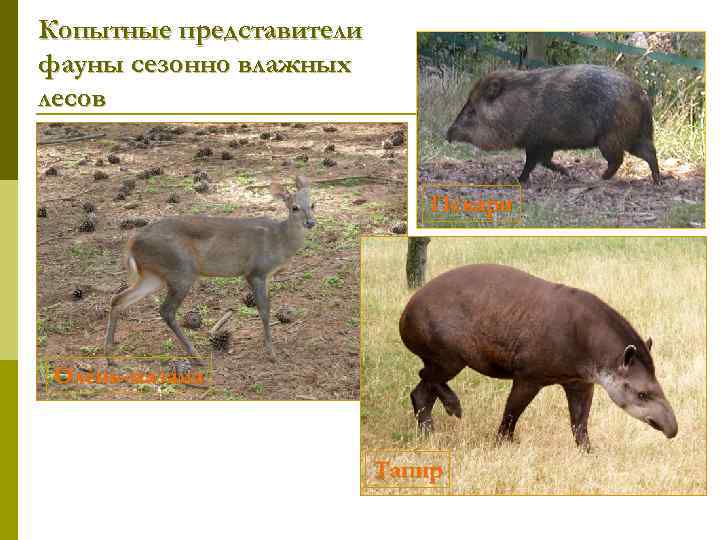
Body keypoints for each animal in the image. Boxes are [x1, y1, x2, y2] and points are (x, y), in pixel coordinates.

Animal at [104, 176, 316, 368]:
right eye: (294, 207)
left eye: (313, 204)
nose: (310, 222)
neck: (279, 241)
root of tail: (132, 242)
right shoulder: (256, 272)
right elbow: (264, 310)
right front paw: (271, 353)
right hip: (181, 270)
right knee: (166, 310)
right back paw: (196, 356)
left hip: (153, 275)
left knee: (118, 299)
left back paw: (110, 357)